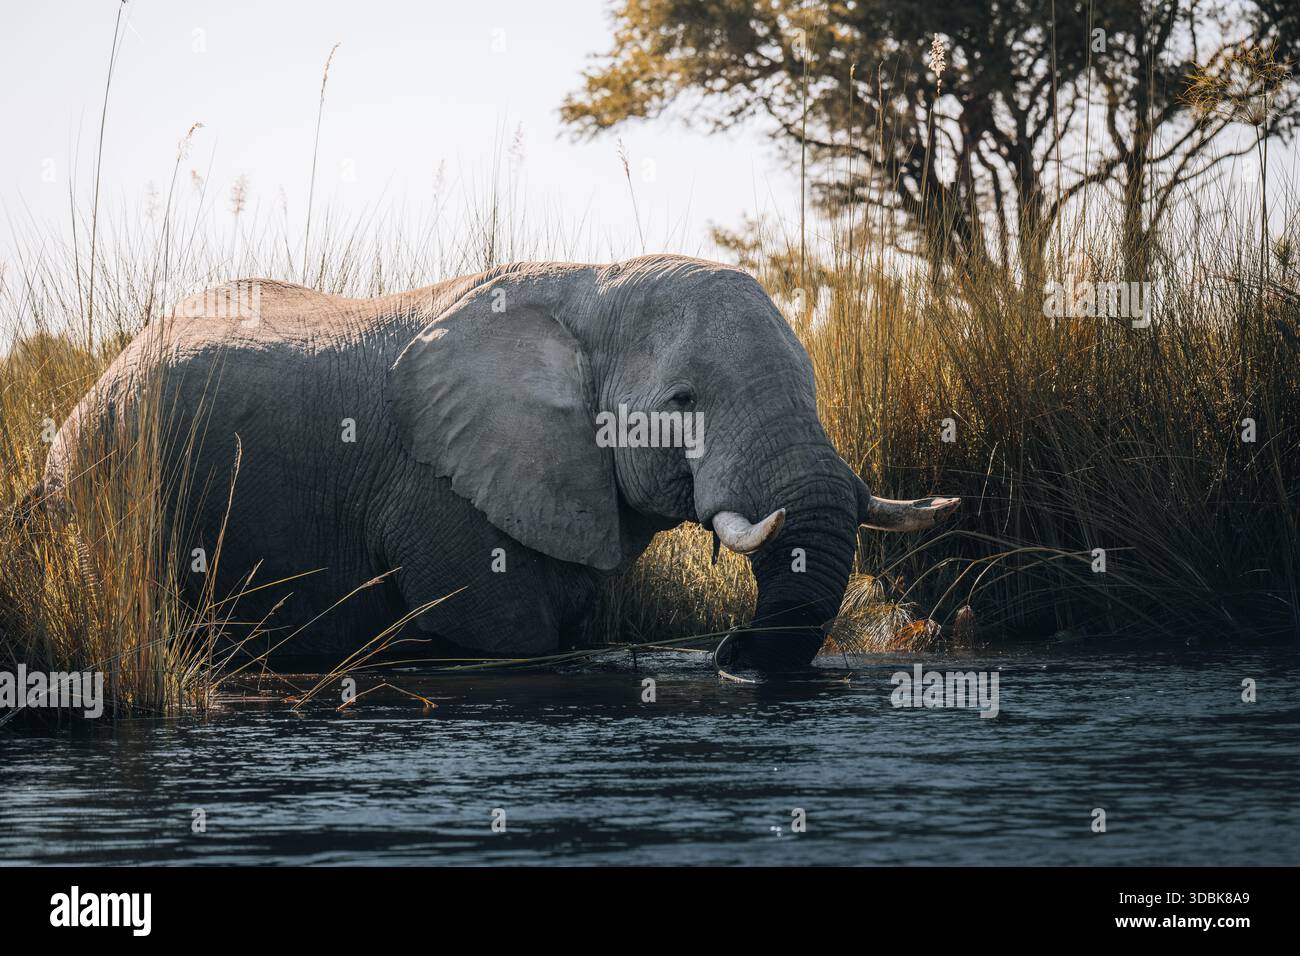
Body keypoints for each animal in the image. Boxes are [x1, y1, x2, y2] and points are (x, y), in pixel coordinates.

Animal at [41, 255, 958, 671]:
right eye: (682, 401)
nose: (727, 649)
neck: (595, 286)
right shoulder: (438, 491)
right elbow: (506, 638)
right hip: (105, 480)